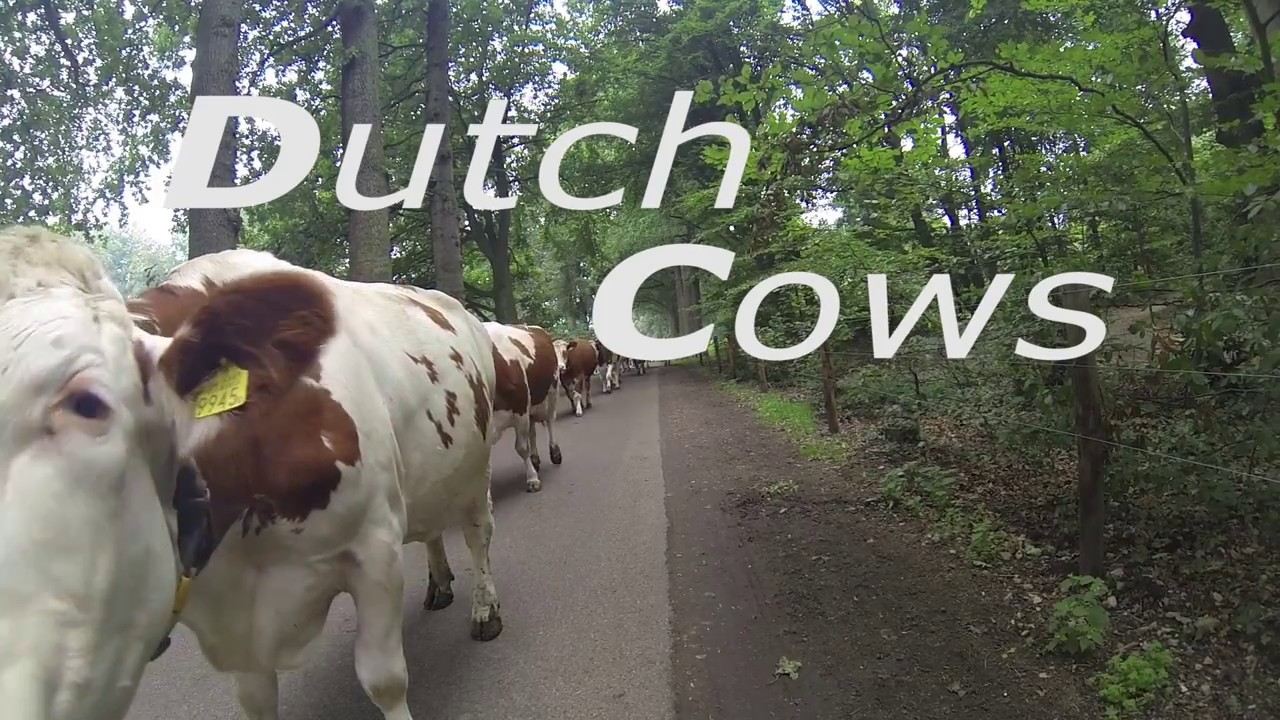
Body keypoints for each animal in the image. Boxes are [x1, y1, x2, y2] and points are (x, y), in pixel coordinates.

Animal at [121, 247, 505, 720]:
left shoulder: (373, 549)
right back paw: (441, 583)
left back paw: (485, 610)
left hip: (476, 465)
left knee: (477, 534)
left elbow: (384, 680)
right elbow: (255, 699)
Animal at [486, 322, 562, 493]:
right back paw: (535, 459)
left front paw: (532, 479)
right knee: (532, 431)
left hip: (551, 393)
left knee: (550, 422)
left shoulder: (520, 410)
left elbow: (521, 448)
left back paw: (554, 452)